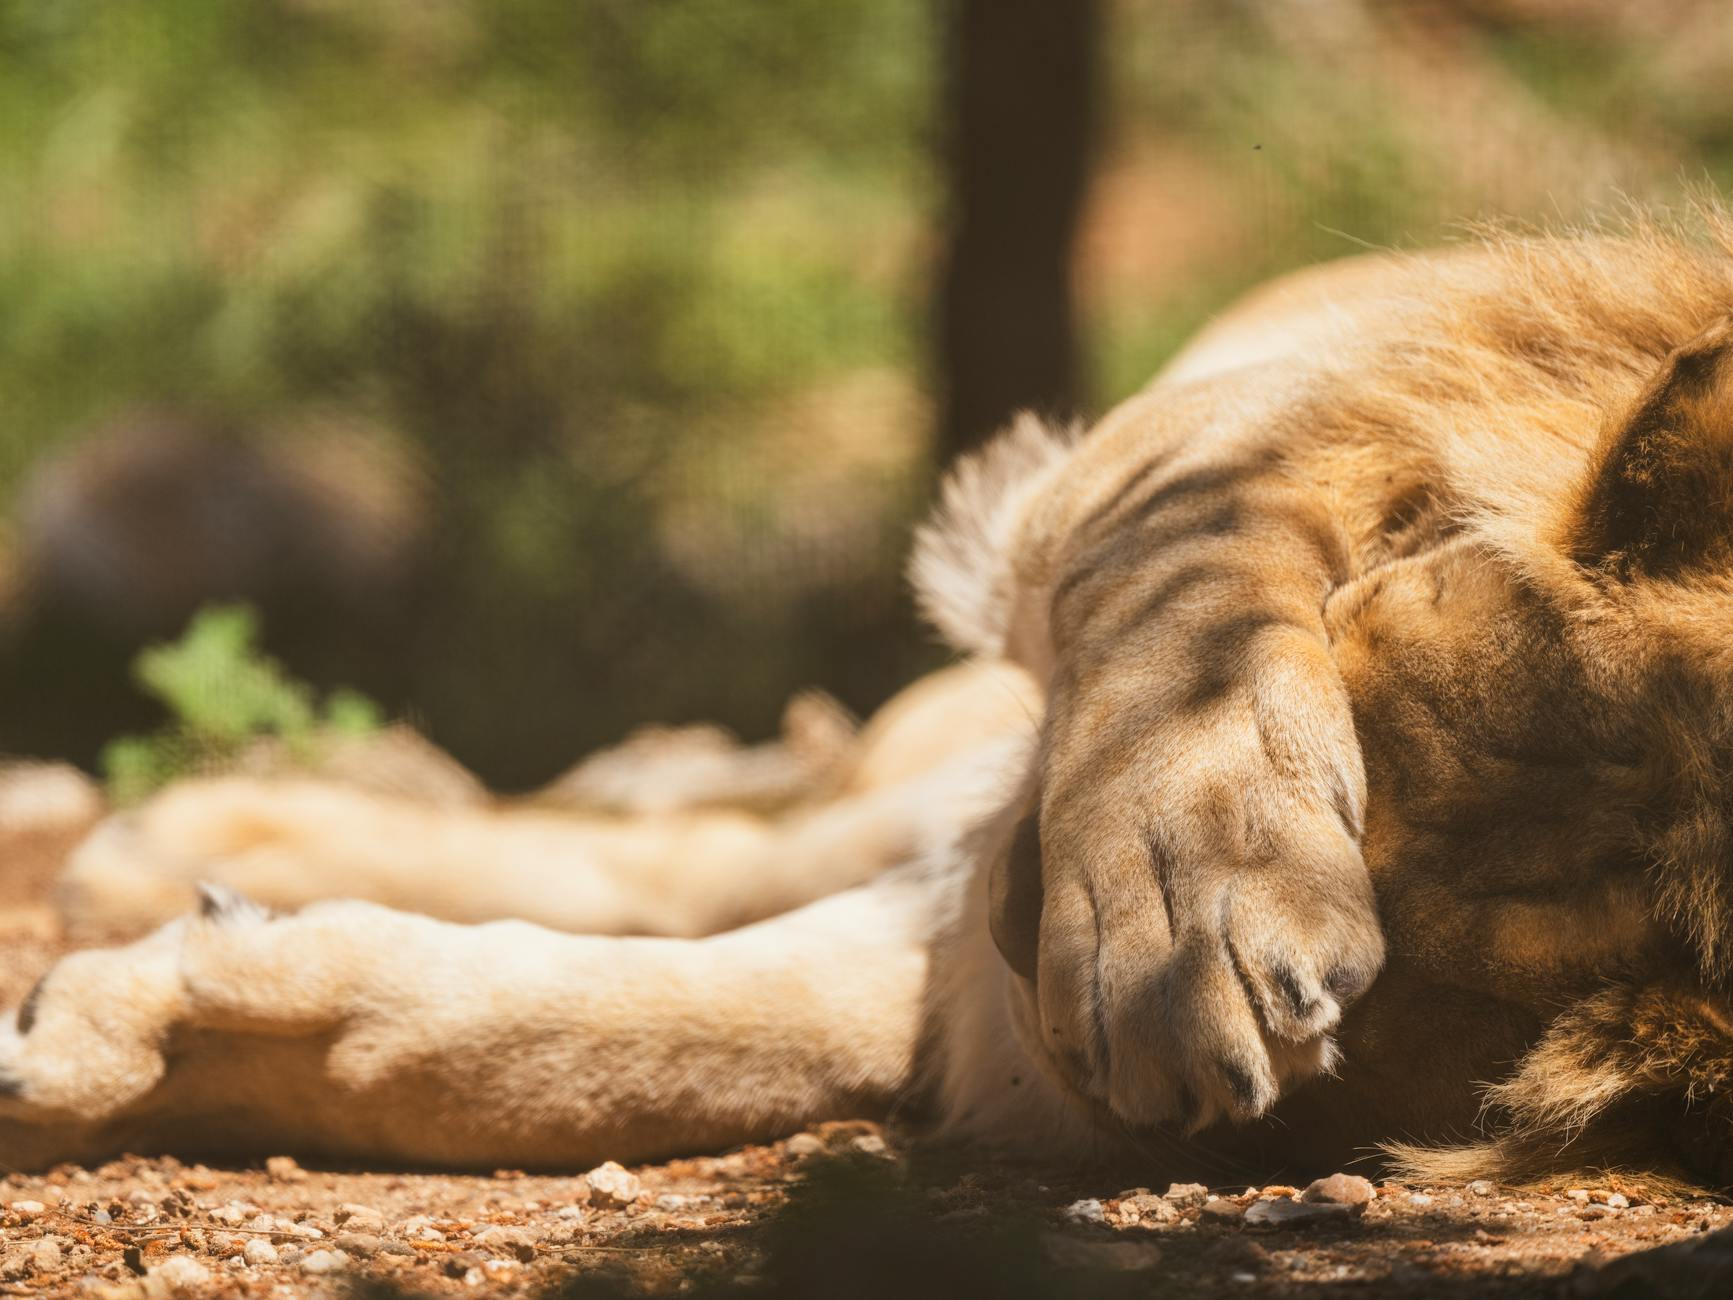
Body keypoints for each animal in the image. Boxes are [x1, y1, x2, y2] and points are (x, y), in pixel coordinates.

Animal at [6, 210, 1733, 1189]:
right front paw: (1192, 895)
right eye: (1343, 695)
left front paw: (162, 1039)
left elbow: (604, 1035)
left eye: (1394, 1021)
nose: (1014, 910)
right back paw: (192, 838)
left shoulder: (977, 1004)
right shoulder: (1231, 429)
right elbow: (1197, 592)